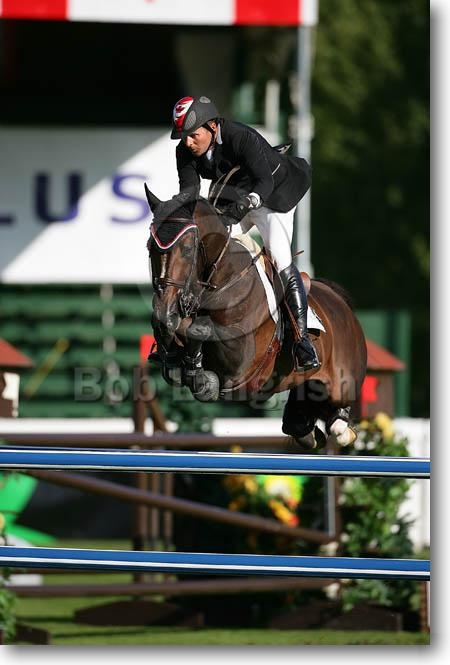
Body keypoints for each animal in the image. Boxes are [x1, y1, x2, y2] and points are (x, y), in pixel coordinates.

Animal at [145, 184, 367, 450]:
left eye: (187, 249)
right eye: (149, 247)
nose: (165, 309)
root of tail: (341, 303)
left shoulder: (240, 361)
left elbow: (201, 330)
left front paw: (203, 379)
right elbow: (180, 339)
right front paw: (179, 355)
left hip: (342, 383)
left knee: (338, 414)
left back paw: (339, 425)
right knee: (300, 422)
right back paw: (310, 431)